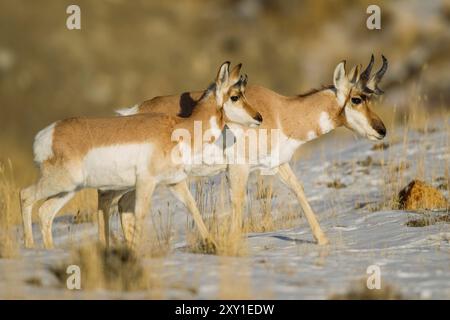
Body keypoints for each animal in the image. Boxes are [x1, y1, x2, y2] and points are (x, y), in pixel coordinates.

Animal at [20, 61, 260, 249]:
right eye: (235, 96)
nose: (259, 117)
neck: (178, 128)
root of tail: (48, 133)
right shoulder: (146, 182)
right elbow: (140, 214)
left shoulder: (175, 182)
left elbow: (192, 207)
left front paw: (211, 243)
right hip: (62, 183)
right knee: (25, 195)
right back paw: (30, 247)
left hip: (69, 189)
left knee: (45, 212)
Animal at [111, 55, 386, 245]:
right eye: (356, 99)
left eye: (370, 98)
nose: (382, 130)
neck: (280, 112)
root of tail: (133, 112)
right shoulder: (238, 169)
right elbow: (238, 202)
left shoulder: (277, 165)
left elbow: (298, 190)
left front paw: (322, 240)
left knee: (123, 205)